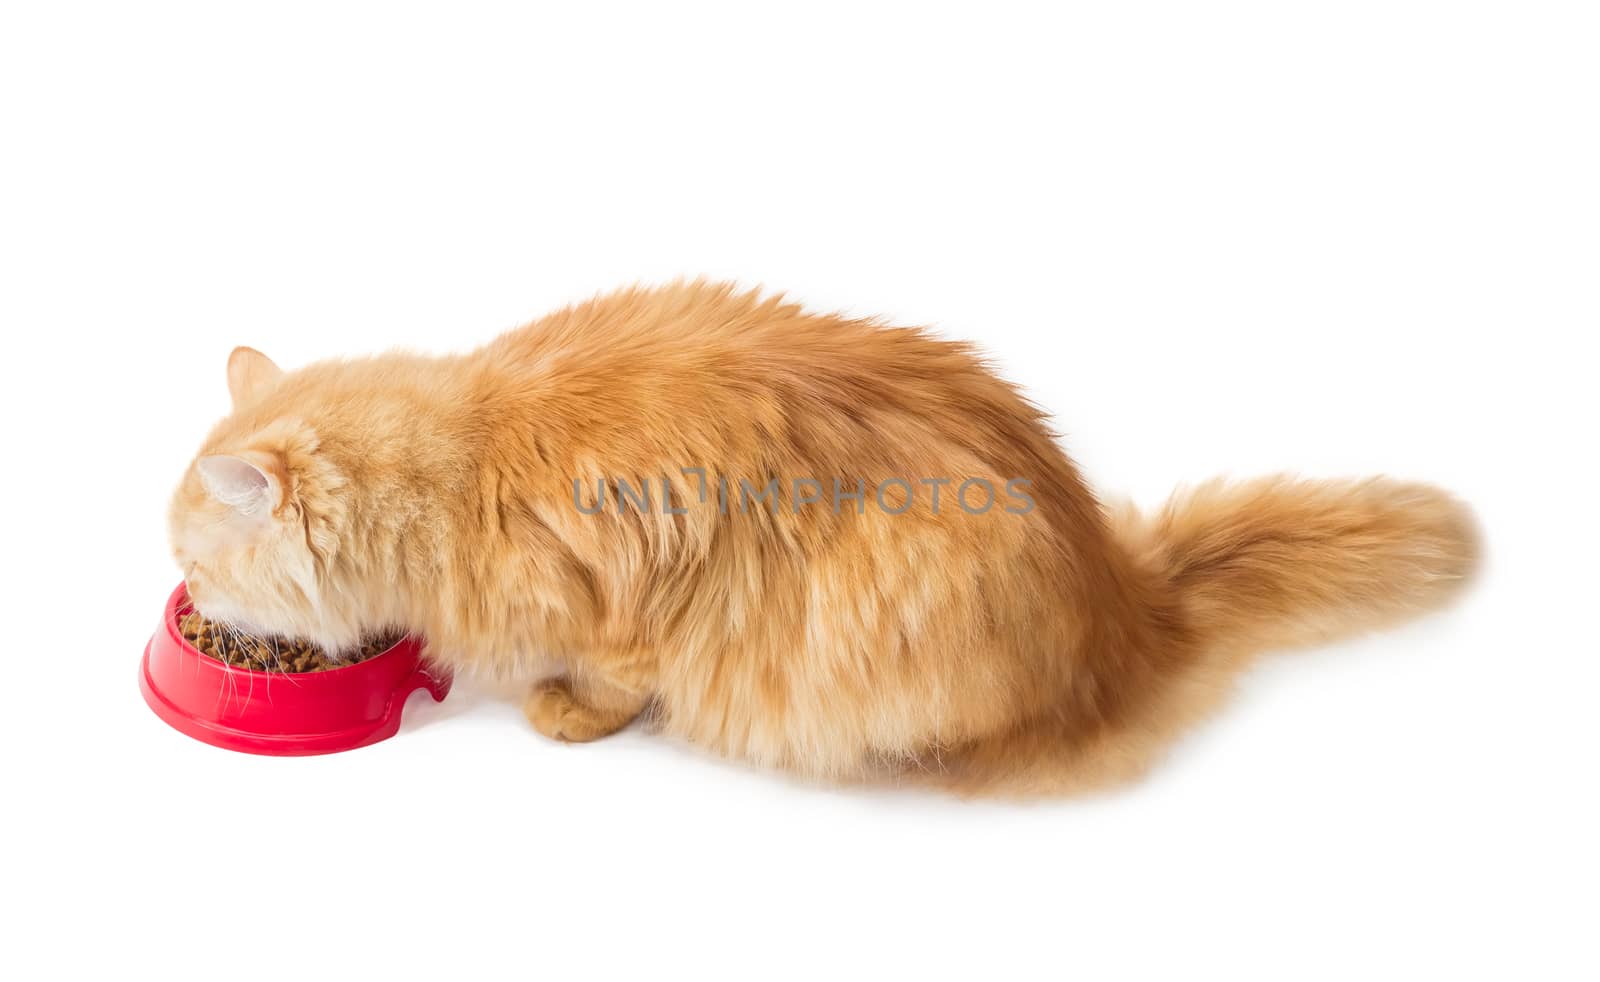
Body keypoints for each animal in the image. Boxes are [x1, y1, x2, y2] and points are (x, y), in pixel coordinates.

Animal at [168, 281, 1478, 796]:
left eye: (190, 562)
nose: (189, 599)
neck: (461, 462)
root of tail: (1123, 606)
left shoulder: (623, 614)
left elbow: (610, 681)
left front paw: (566, 712)